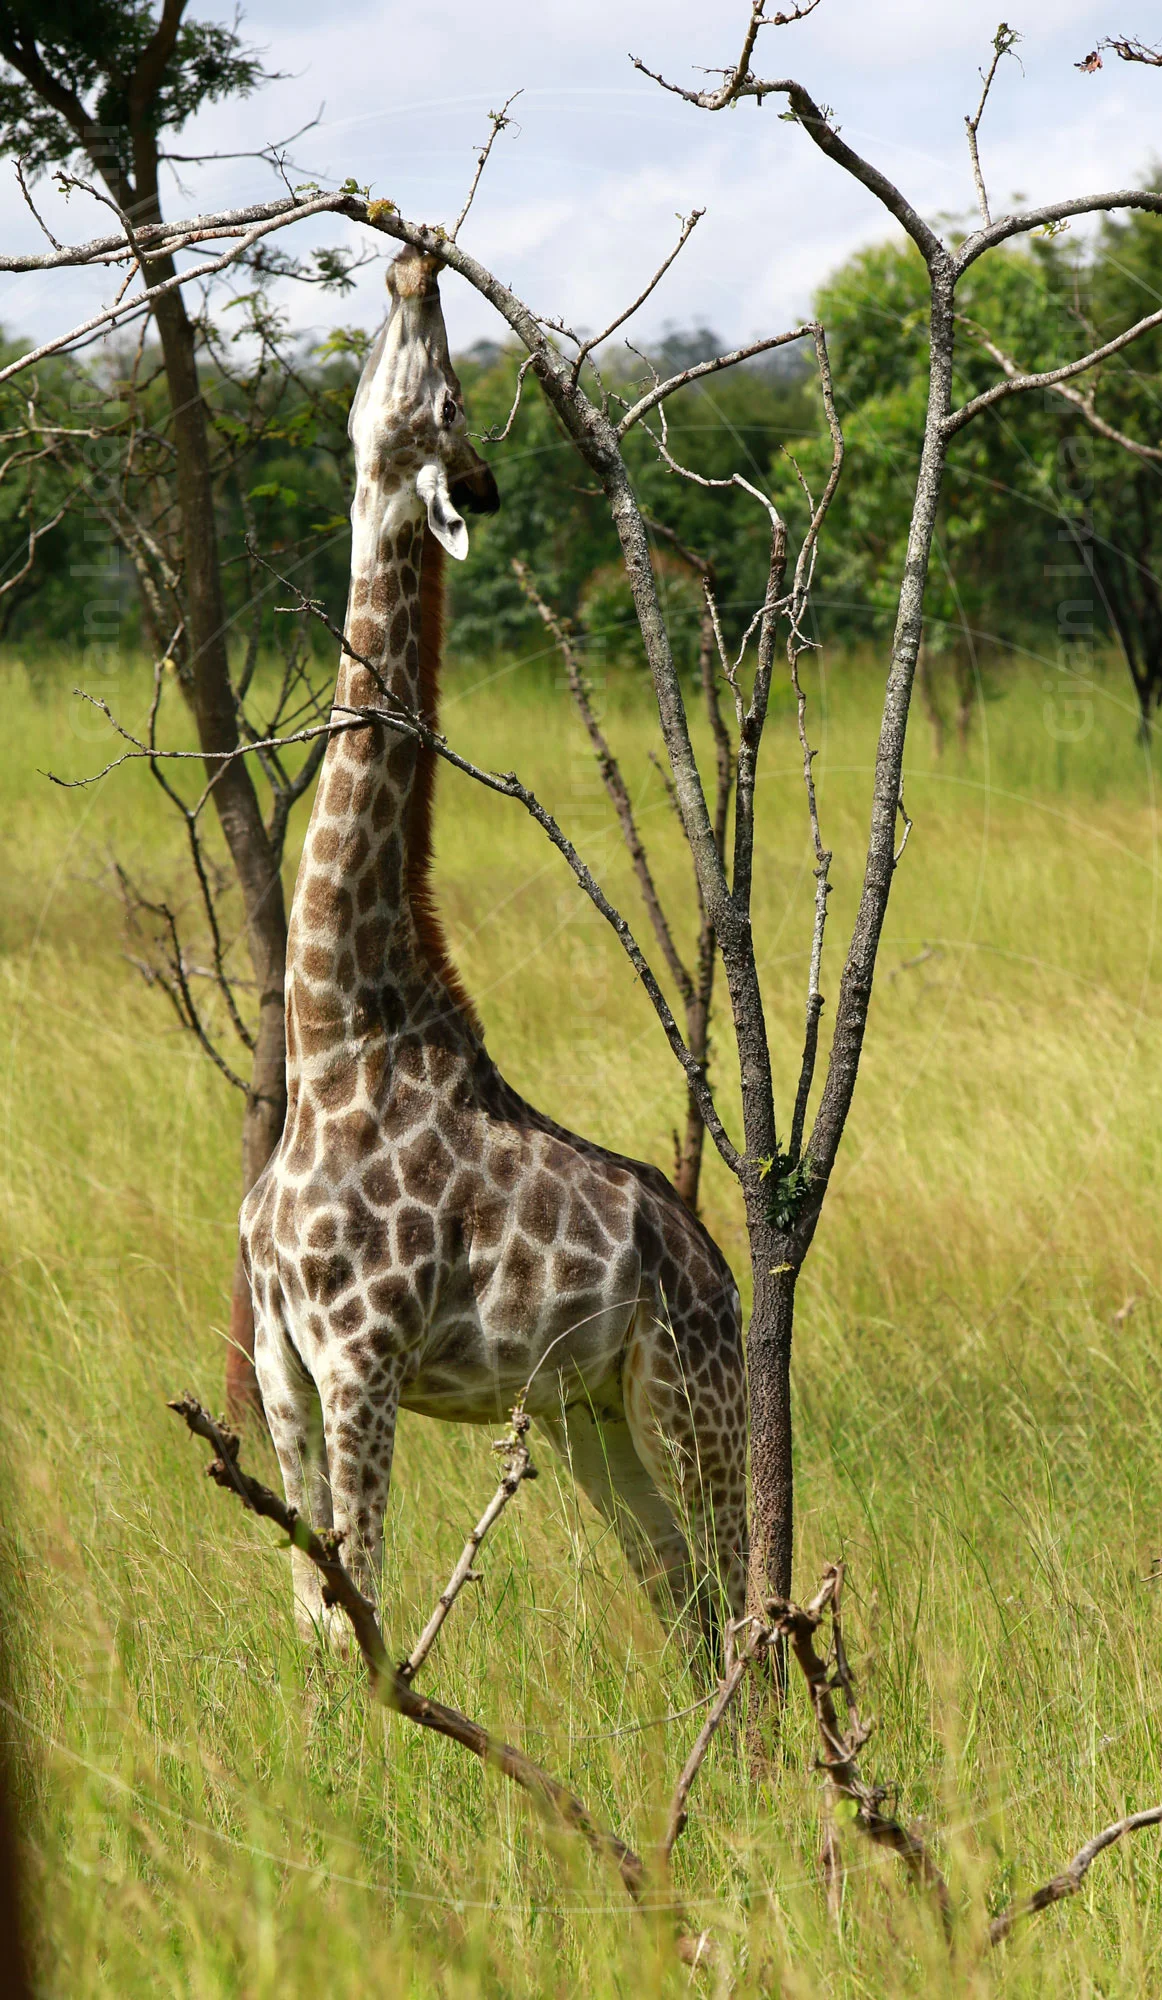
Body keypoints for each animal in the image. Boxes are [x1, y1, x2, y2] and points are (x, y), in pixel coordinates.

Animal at [239, 245, 748, 1658]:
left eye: (447, 400)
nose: (413, 264)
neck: (333, 1032)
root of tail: (723, 1271)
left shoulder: (363, 1354)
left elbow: (362, 1598)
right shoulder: (281, 1359)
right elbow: (315, 1608)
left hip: (688, 1394)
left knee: (744, 1590)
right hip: (587, 1416)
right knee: (682, 1594)